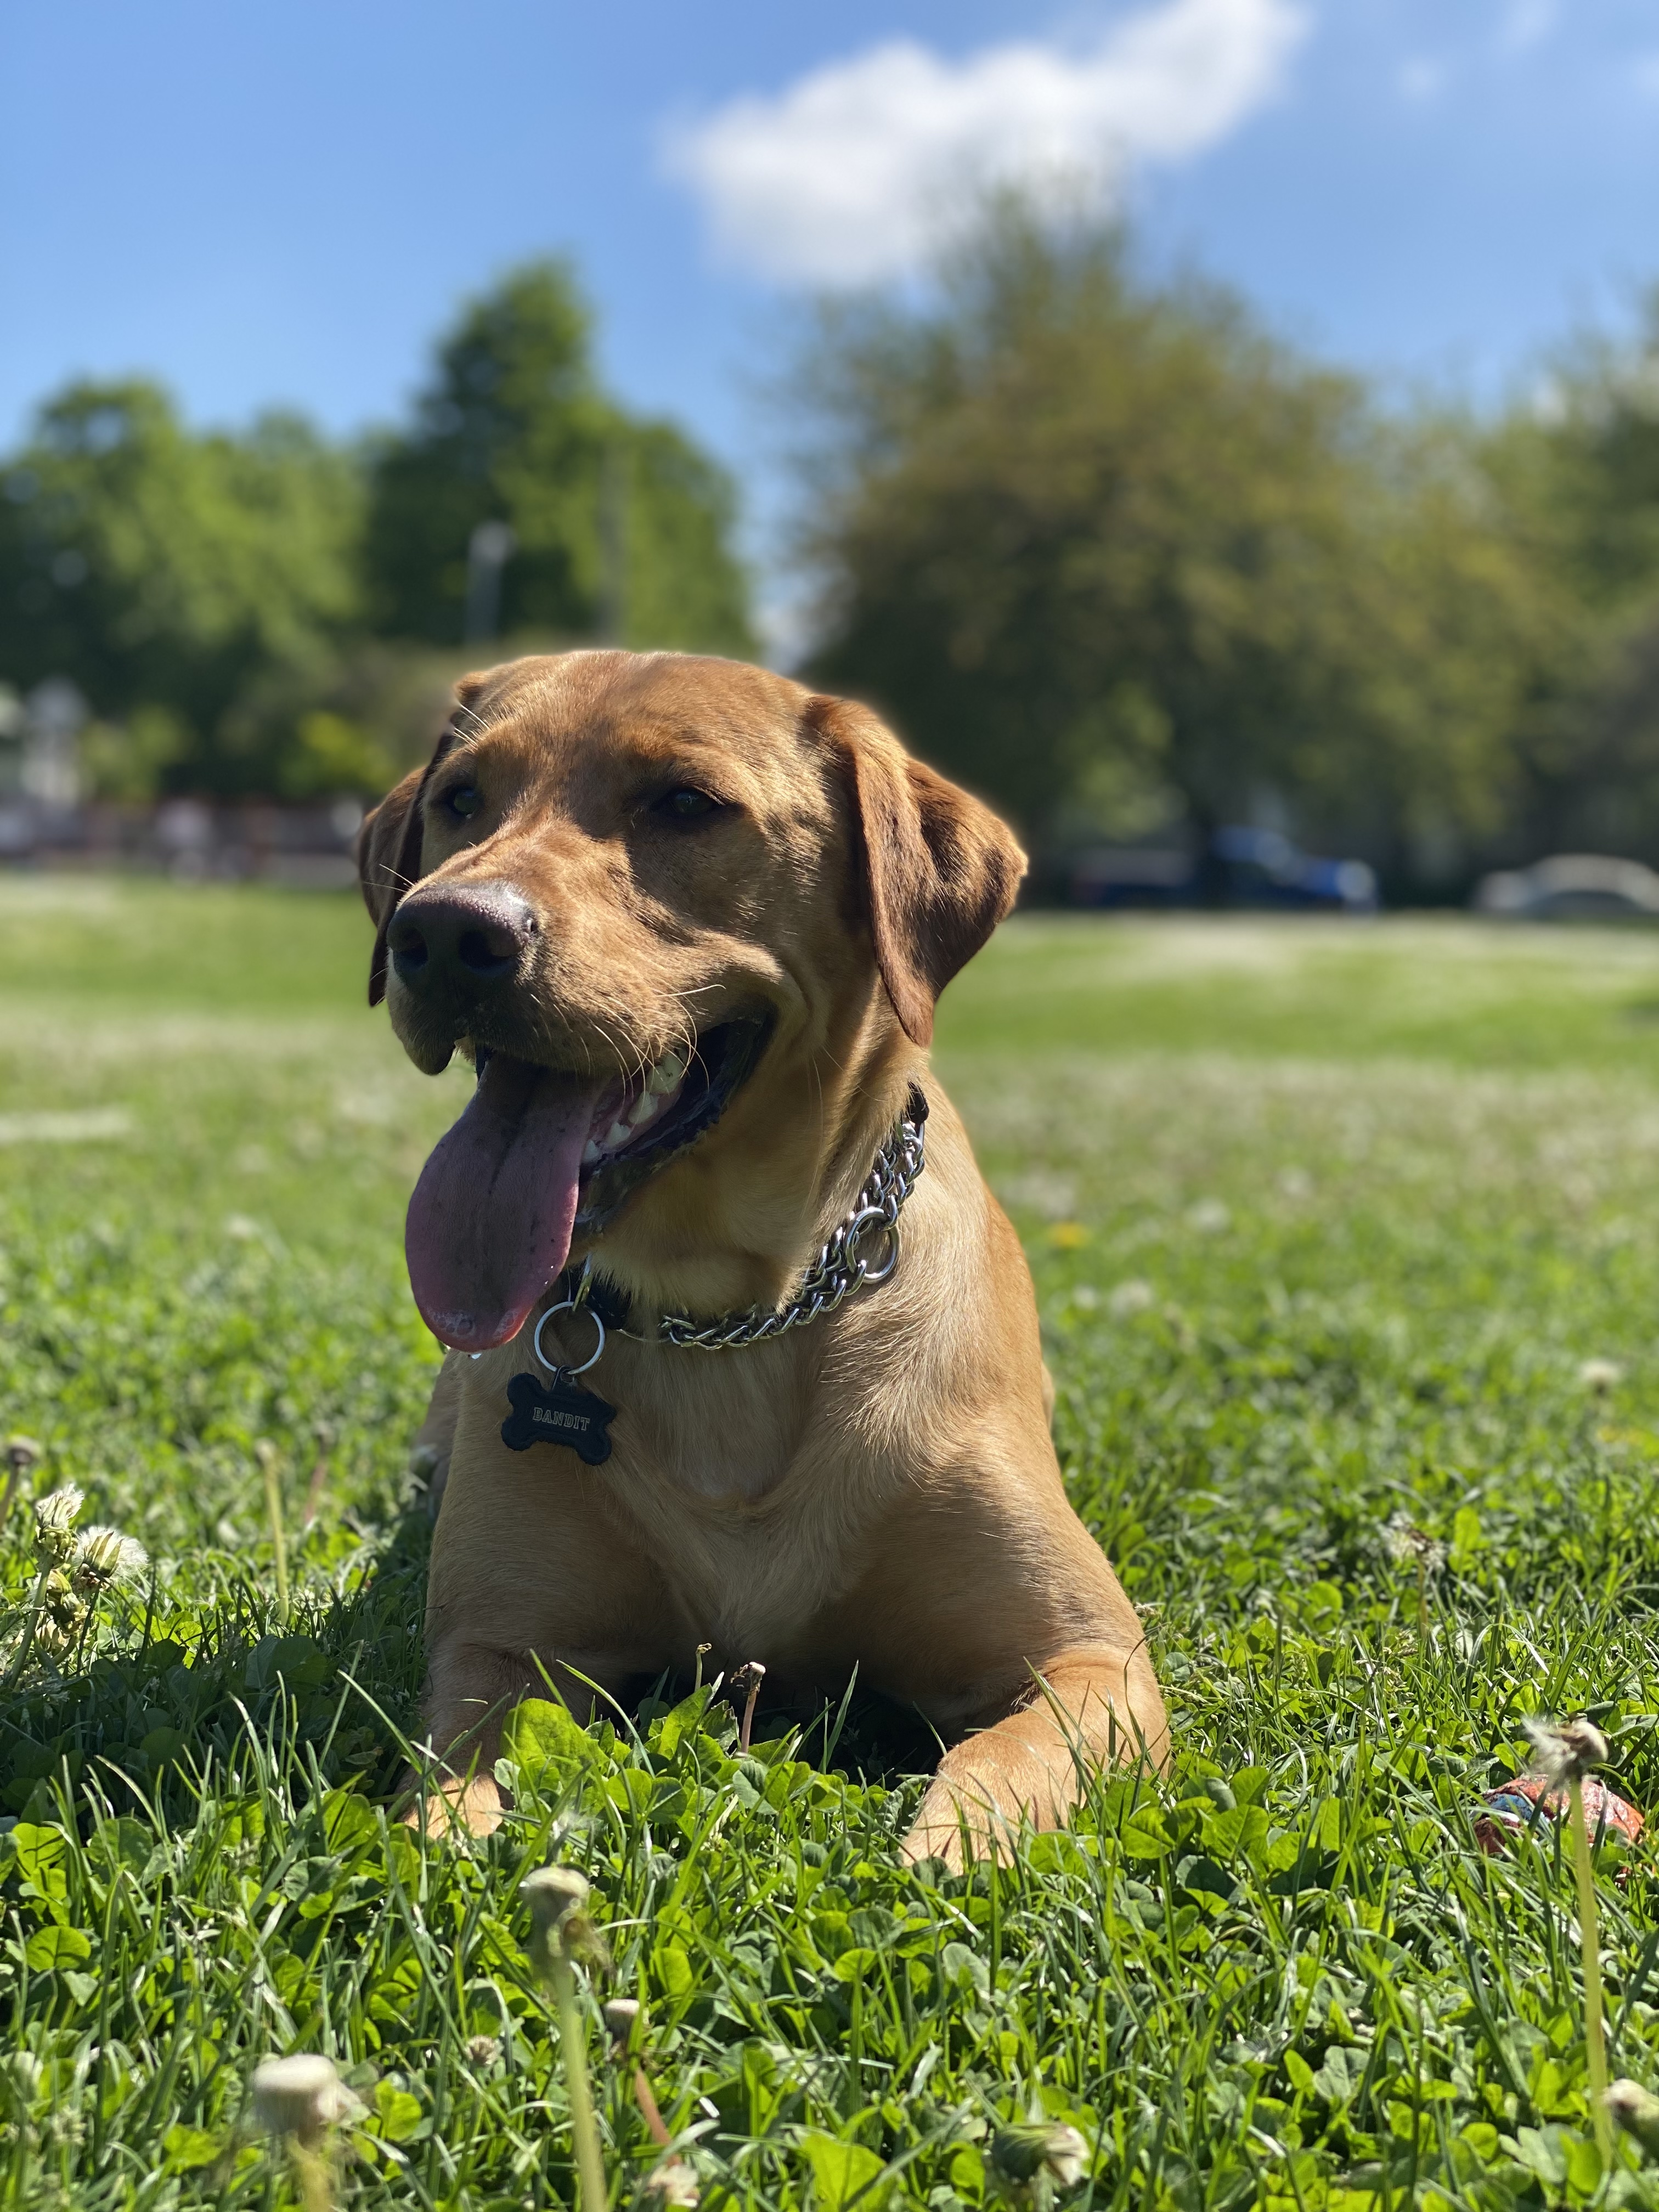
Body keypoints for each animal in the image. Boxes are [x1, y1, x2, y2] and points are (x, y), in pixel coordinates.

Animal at [359, 649, 1167, 1862]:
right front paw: (448, 1835)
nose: (446, 933)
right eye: (461, 797)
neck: (731, 1315)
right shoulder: (499, 1645)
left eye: (686, 804)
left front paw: (942, 1851)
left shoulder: (1093, 1660)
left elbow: (1002, 1763)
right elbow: (453, 1781)